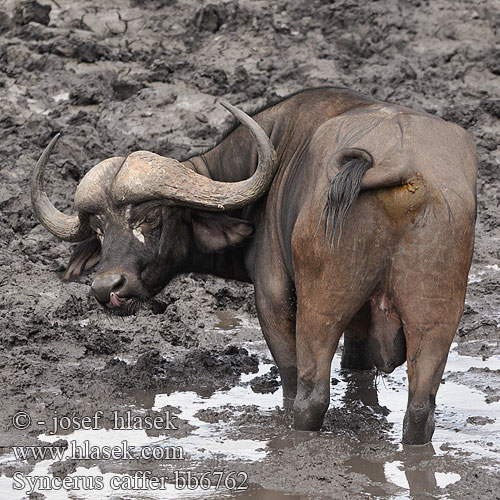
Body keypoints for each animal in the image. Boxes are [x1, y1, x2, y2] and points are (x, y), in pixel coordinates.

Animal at [31, 88, 476, 444]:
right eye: (99, 230)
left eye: (152, 218)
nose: (107, 287)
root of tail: (396, 163)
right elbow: (357, 366)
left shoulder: (272, 294)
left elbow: (290, 375)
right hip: (436, 313)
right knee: (420, 407)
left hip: (320, 305)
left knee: (311, 395)